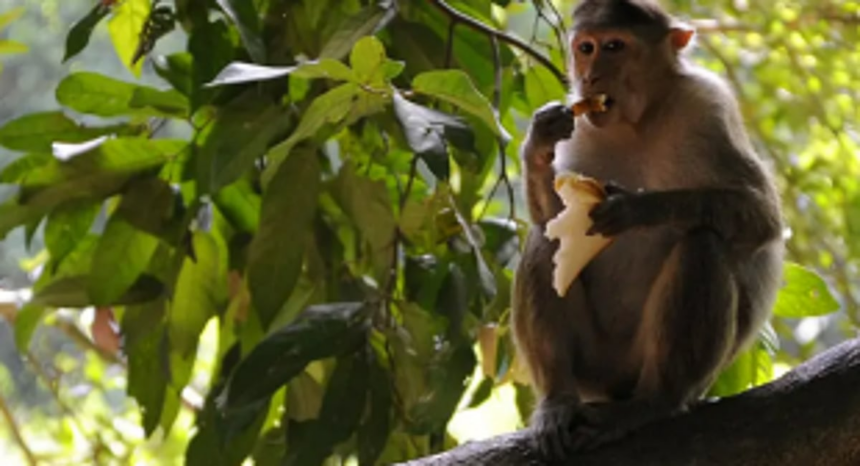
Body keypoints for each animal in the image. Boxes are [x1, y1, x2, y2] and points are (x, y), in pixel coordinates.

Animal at [512, 0, 784, 457]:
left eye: (614, 46)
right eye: (586, 48)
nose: (590, 77)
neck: (640, 120)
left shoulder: (708, 106)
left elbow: (762, 217)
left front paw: (636, 208)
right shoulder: (582, 125)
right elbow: (554, 217)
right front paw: (538, 142)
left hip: (646, 365)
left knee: (702, 243)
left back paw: (653, 402)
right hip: (594, 366)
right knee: (544, 240)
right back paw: (557, 399)